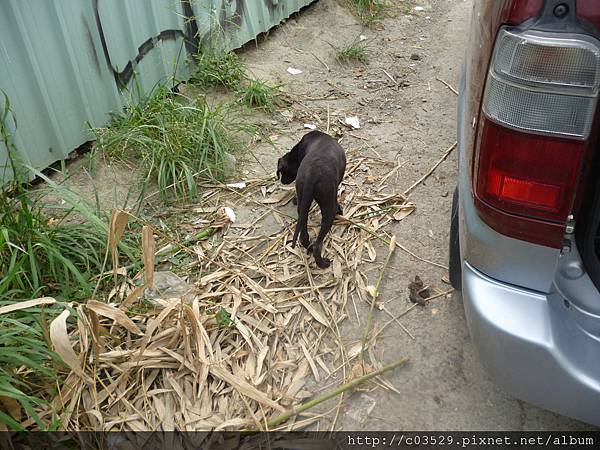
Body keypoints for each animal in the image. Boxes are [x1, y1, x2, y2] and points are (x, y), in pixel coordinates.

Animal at [276, 130, 344, 268]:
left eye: (283, 172)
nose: (283, 181)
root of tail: (312, 175)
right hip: (328, 208)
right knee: (318, 244)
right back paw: (323, 263)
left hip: (303, 204)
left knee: (303, 235)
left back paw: (307, 246)